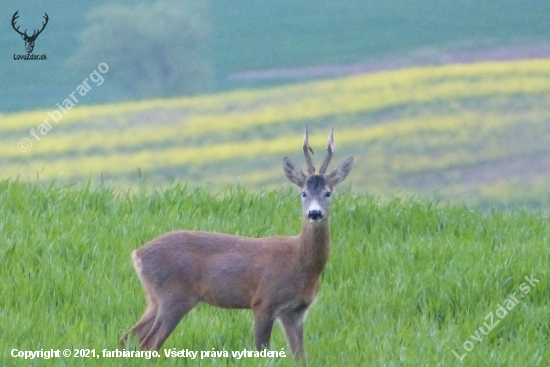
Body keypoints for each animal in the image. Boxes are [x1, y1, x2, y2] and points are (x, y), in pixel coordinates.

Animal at [119, 126, 354, 360]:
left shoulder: (295, 311)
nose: (314, 213)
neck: (301, 263)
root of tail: (137, 254)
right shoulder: (263, 301)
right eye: (303, 193)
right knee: (148, 343)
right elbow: (263, 351)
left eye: (328, 192)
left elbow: (301, 356)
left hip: (154, 299)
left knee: (128, 338)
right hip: (174, 296)